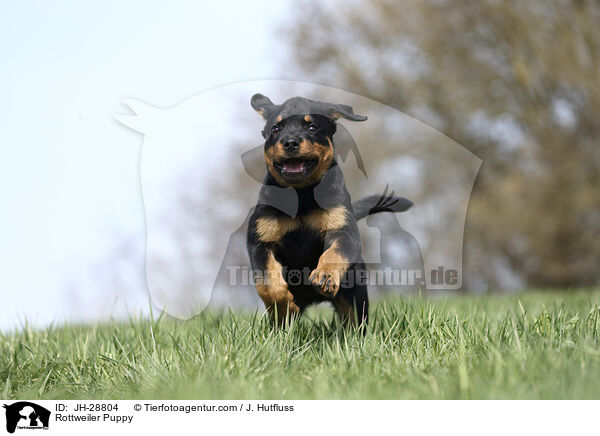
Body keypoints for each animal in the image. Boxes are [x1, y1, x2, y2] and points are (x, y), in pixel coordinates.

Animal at [245, 94, 412, 328]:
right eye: (275, 128)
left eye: (312, 126)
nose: (290, 142)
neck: (302, 195)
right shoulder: (260, 241)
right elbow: (267, 283)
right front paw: (284, 306)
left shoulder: (343, 231)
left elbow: (333, 253)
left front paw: (324, 276)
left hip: (353, 293)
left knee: (355, 319)